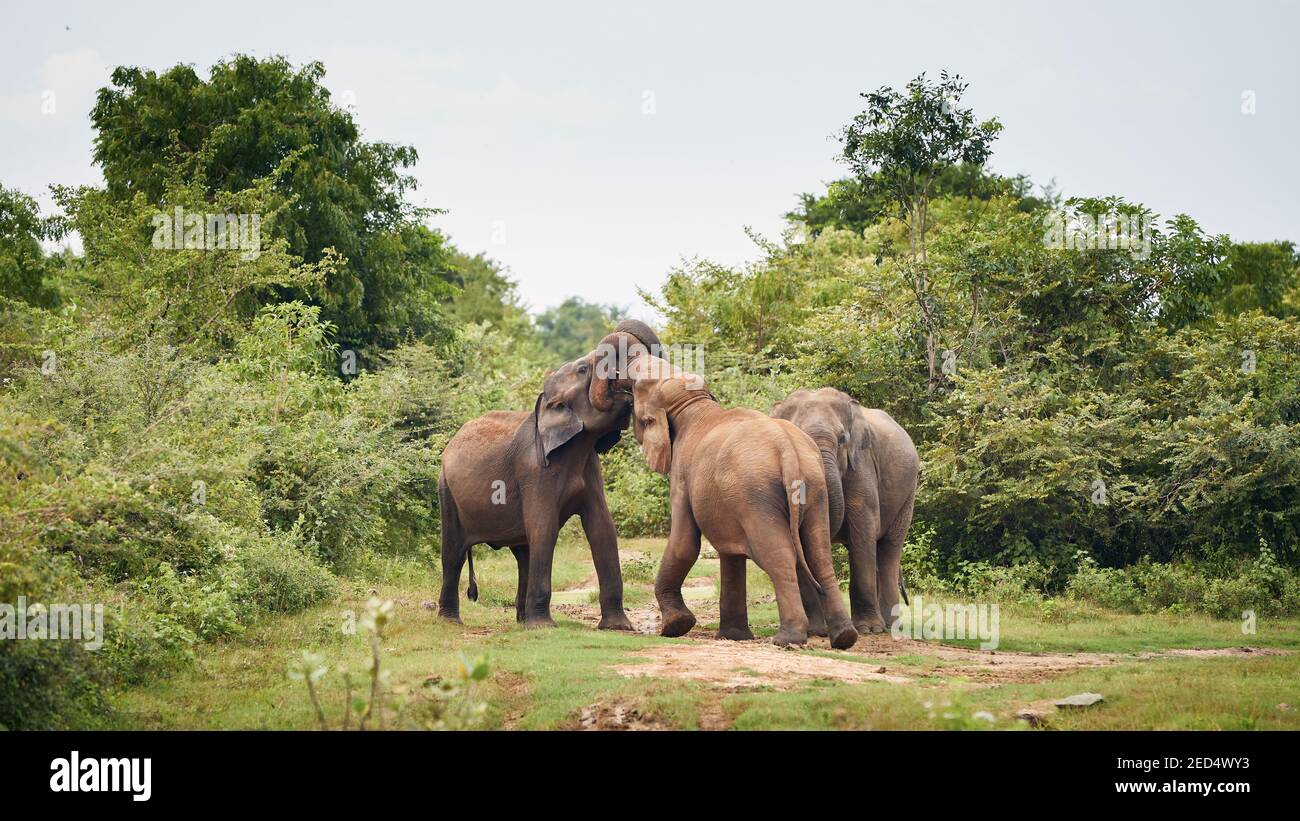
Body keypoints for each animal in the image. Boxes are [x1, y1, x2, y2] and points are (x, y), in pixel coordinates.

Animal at [439, 319, 665, 628]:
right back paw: (451, 622)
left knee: (524, 553)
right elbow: (544, 528)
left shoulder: (590, 469)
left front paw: (619, 627)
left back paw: (522, 623)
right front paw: (545, 627)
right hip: (446, 489)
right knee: (453, 553)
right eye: (583, 369)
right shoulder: (534, 471)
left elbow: (603, 529)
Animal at [769, 389, 925, 633]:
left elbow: (862, 531)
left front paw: (868, 629)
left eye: (842, 439)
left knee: (888, 549)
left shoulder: (861, 467)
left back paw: (888, 626)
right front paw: (816, 631)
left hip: (907, 495)